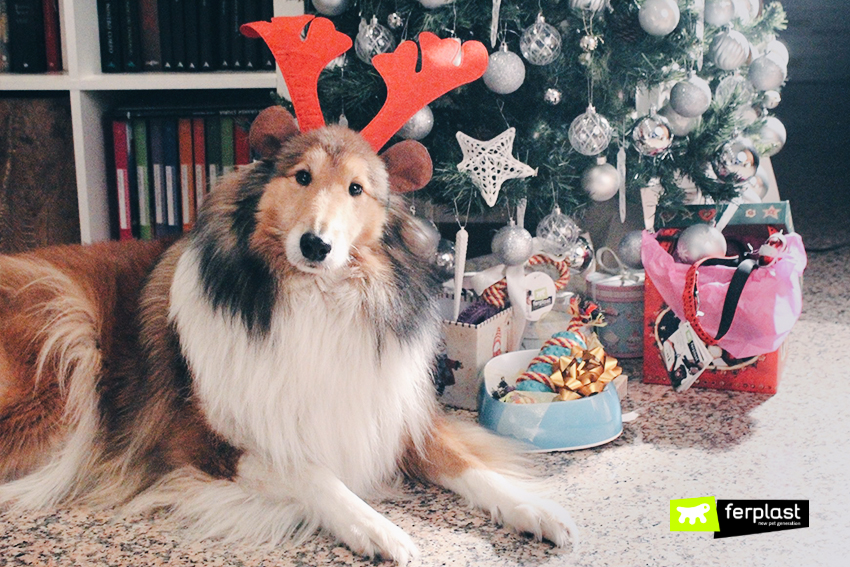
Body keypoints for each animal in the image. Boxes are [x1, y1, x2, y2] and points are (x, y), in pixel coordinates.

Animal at [0, 107, 576, 564]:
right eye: (302, 176)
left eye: (356, 189)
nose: (316, 245)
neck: (314, 301)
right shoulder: (200, 440)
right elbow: (312, 472)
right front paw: (380, 530)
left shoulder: (392, 410)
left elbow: (469, 466)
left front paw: (537, 510)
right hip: (65, 335)